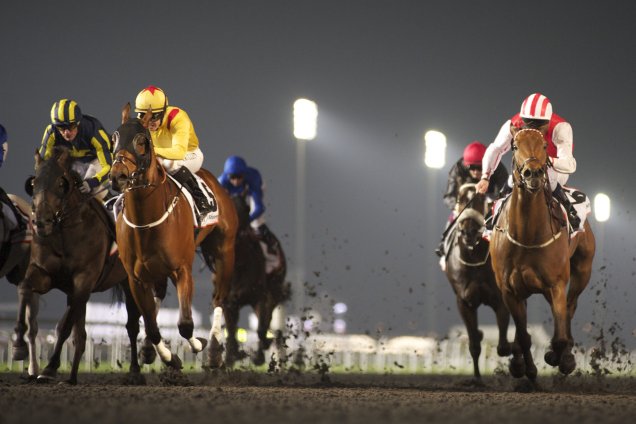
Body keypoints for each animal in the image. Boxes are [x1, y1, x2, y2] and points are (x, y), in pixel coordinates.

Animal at [25, 148, 142, 384]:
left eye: (61, 183)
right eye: (34, 183)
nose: (42, 222)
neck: (66, 231)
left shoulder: (84, 280)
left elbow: (65, 327)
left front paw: (49, 368)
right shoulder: (46, 274)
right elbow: (28, 288)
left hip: (129, 282)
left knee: (132, 326)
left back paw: (135, 371)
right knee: (80, 332)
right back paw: (72, 377)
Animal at [109, 104, 238, 370]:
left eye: (142, 141)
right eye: (114, 138)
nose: (118, 176)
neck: (145, 220)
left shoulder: (182, 270)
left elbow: (186, 324)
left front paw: (198, 345)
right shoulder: (136, 279)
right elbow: (151, 324)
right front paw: (167, 356)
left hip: (225, 252)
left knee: (219, 298)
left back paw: (214, 350)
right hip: (156, 270)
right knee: (157, 300)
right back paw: (149, 349)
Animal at [442, 184, 512, 382]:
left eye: (482, 200)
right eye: (460, 200)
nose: (469, 232)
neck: (475, 258)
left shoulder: (500, 300)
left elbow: (503, 347)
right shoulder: (464, 302)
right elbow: (474, 343)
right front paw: (477, 379)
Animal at [490, 126, 592, 380]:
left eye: (545, 145)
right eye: (515, 145)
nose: (533, 173)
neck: (528, 234)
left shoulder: (556, 284)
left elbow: (560, 332)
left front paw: (562, 358)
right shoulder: (509, 290)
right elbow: (523, 335)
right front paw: (524, 367)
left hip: (582, 271)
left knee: (570, 306)